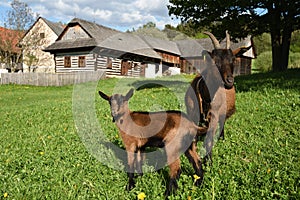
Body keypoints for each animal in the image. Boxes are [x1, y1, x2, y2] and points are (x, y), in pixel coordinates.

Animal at [185, 30, 251, 162]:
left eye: (233, 60)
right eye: (214, 61)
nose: (229, 81)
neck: (205, 98)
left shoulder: (214, 116)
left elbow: (209, 139)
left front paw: (209, 161)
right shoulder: (192, 116)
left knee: (222, 124)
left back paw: (221, 138)